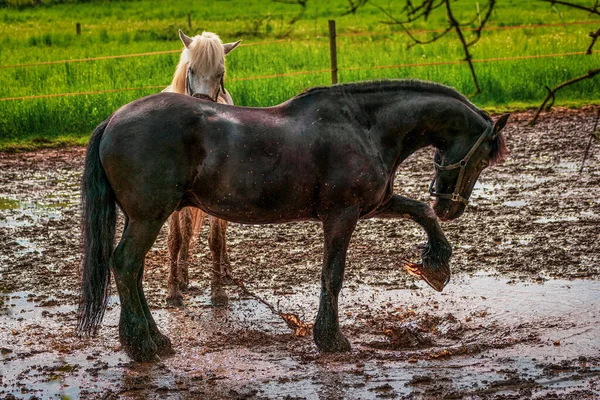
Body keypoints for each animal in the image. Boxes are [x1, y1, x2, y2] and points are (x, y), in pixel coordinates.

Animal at [76, 79, 506, 360]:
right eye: (484, 156)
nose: (452, 207)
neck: (364, 125)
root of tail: (113, 120)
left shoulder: (374, 204)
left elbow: (420, 211)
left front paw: (436, 264)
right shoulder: (341, 214)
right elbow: (332, 275)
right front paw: (330, 339)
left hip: (147, 217)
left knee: (131, 270)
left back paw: (152, 340)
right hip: (149, 216)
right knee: (125, 265)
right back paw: (143, 345)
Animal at [165, 30, 240, 306]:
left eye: (220, 73)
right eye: (191, 69)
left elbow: (216, 240)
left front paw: (218, 291)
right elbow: (176, 239)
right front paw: (173, 290)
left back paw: (226, 270)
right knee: (186, 232)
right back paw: (184, 277)